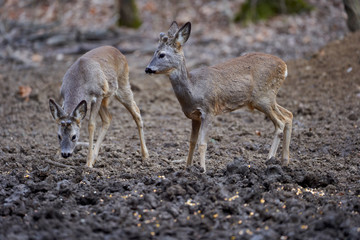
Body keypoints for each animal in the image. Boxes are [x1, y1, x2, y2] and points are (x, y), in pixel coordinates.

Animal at [146, 21, 292, 172]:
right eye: (154, 52)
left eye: (162, 54)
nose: (147, 69)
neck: (194, 89)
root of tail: (284, 66)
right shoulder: (194, 116)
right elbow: (192, 141)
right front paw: (187, 168)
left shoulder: (209, 110)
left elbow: (202, 143)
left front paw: (202, 170)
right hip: (268, 98)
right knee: (289, 115)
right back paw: (284, 161)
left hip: (263, 97)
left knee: (280, 122)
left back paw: (269, 160)